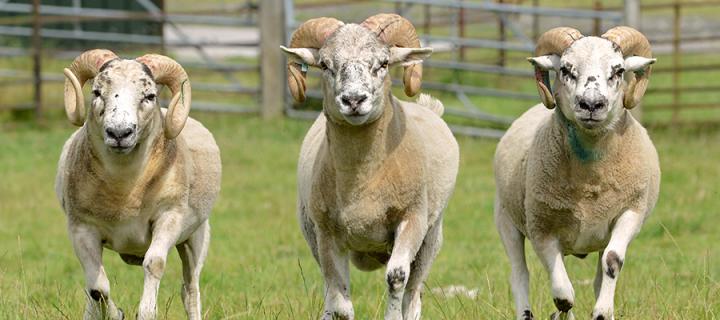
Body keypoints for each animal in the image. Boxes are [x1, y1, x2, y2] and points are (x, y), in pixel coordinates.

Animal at [56, 49, 221, 320]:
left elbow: (154, 264)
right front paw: (117, 314)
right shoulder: (81, 228)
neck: (125, 191)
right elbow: (97, 287)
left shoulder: (169, 217)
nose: (119, 133)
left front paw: (145, 312)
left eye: (149, 95)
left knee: (190, 290)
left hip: (196, 236)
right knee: (91, 291)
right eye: (96, 92)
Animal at [282, 14, 458, 320]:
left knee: (413, 294)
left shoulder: (412, 219)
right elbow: (339, 302)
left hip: (431, 237)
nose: (353, 100)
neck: (363, 182)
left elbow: (396, 278)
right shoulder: (326, 233)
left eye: (383, 63)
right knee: (328, 289)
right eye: (325, 65)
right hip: (310, 231)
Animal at [496, 27, 660, 320]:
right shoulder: (541, 228)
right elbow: (563, 294)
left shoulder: (631, 211)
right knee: (520, 275)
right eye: (566, 69)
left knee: (597, 275)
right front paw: (561, 313)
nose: (591, 104)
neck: (590, 180)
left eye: (618, 70)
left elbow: (612, 262)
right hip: (506, 219)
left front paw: (603, 312)